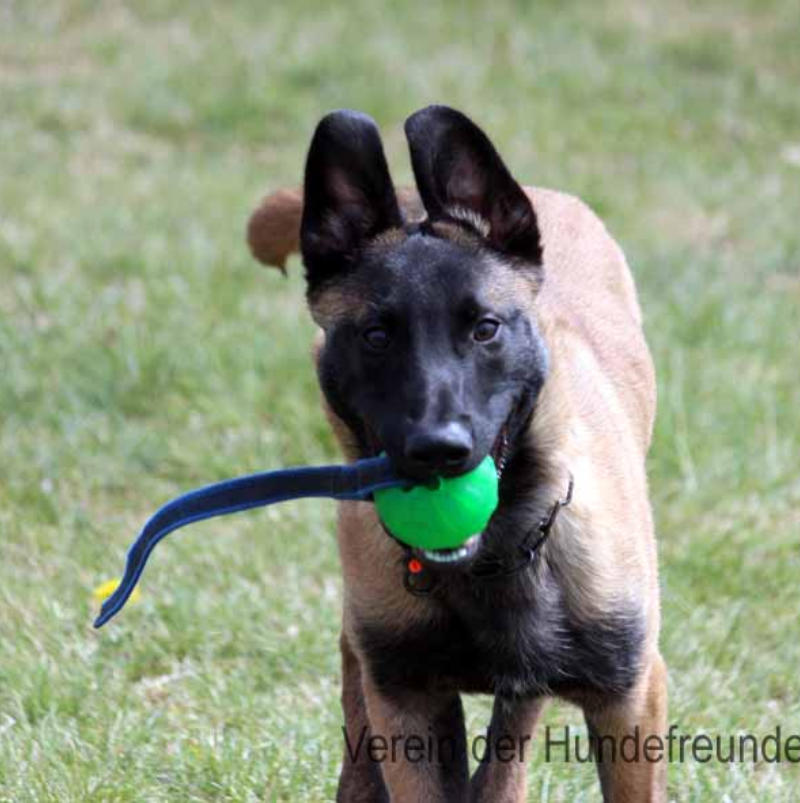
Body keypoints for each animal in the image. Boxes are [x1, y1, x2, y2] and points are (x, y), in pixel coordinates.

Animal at [247, 106, 667, 802]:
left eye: (485, 328)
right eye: (377, 336)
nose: (437, 451)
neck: (488, 564)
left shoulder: (630, 699)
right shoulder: (406, 703)